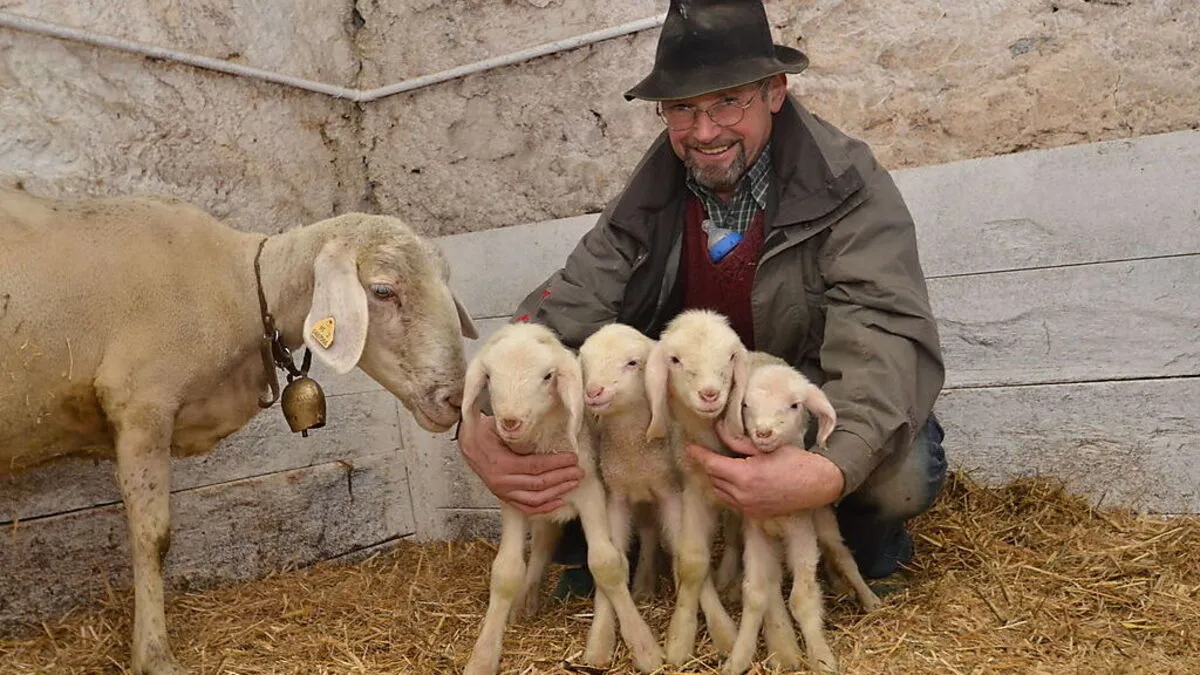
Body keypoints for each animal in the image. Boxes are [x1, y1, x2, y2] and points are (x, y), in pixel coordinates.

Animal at [0, 187, 477, 675]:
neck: (240, 287)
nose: (456, 400)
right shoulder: (140, 404)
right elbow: (153, 539)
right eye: (383, 290)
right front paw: (154, 656)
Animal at [459, 322, 663, 675]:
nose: (510, 422)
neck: (548, 443)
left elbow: (606, 563)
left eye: (547, 377)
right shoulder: (514, 498)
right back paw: (526, 601)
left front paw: (644, 647)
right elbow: (505, 571)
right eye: (489, 377)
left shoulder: (591, 490)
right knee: (543, 543)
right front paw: (483, 655)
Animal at [723, 362, 883, 675]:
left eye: (795, 405)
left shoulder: (802, 533)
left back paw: (868, 598)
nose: (763, 432)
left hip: (825, 525)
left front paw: (822, 658)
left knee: (843, 557)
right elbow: (755, 593)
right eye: (745, 405)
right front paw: (738, 659)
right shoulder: (756, 533)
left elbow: (803, 598)